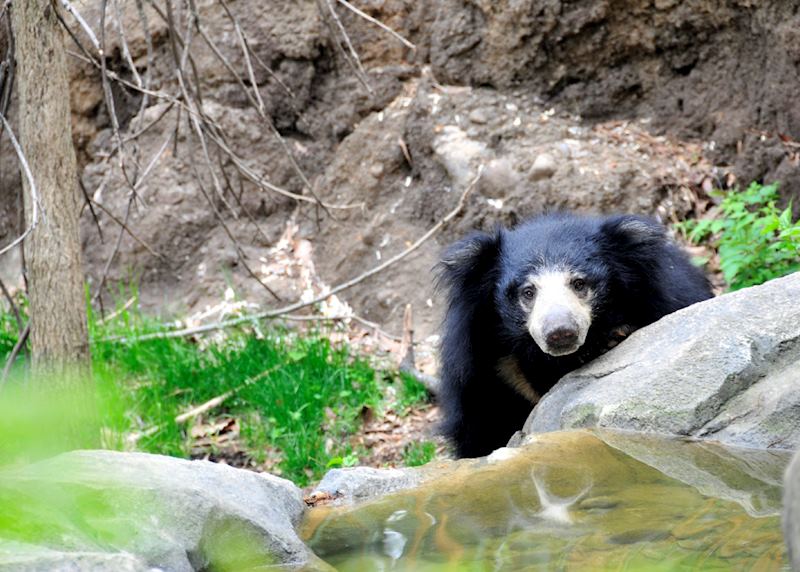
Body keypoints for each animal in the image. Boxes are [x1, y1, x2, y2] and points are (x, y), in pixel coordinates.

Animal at [437, 212, 713, 458]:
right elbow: (483, 433)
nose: (560, 332)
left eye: (579, 283)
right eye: (528, 292)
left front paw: (613, 336)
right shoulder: (486, 376)